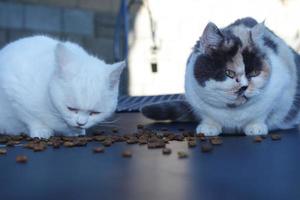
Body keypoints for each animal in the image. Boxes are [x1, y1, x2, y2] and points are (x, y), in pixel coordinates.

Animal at [142, 17, 300, 136]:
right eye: (229, 73)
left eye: (254, 73)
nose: (244, 87)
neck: (233, 113)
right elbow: (208, 117)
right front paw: (209, 127)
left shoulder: (281, 91)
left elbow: (262, 115)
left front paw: (256, 127)